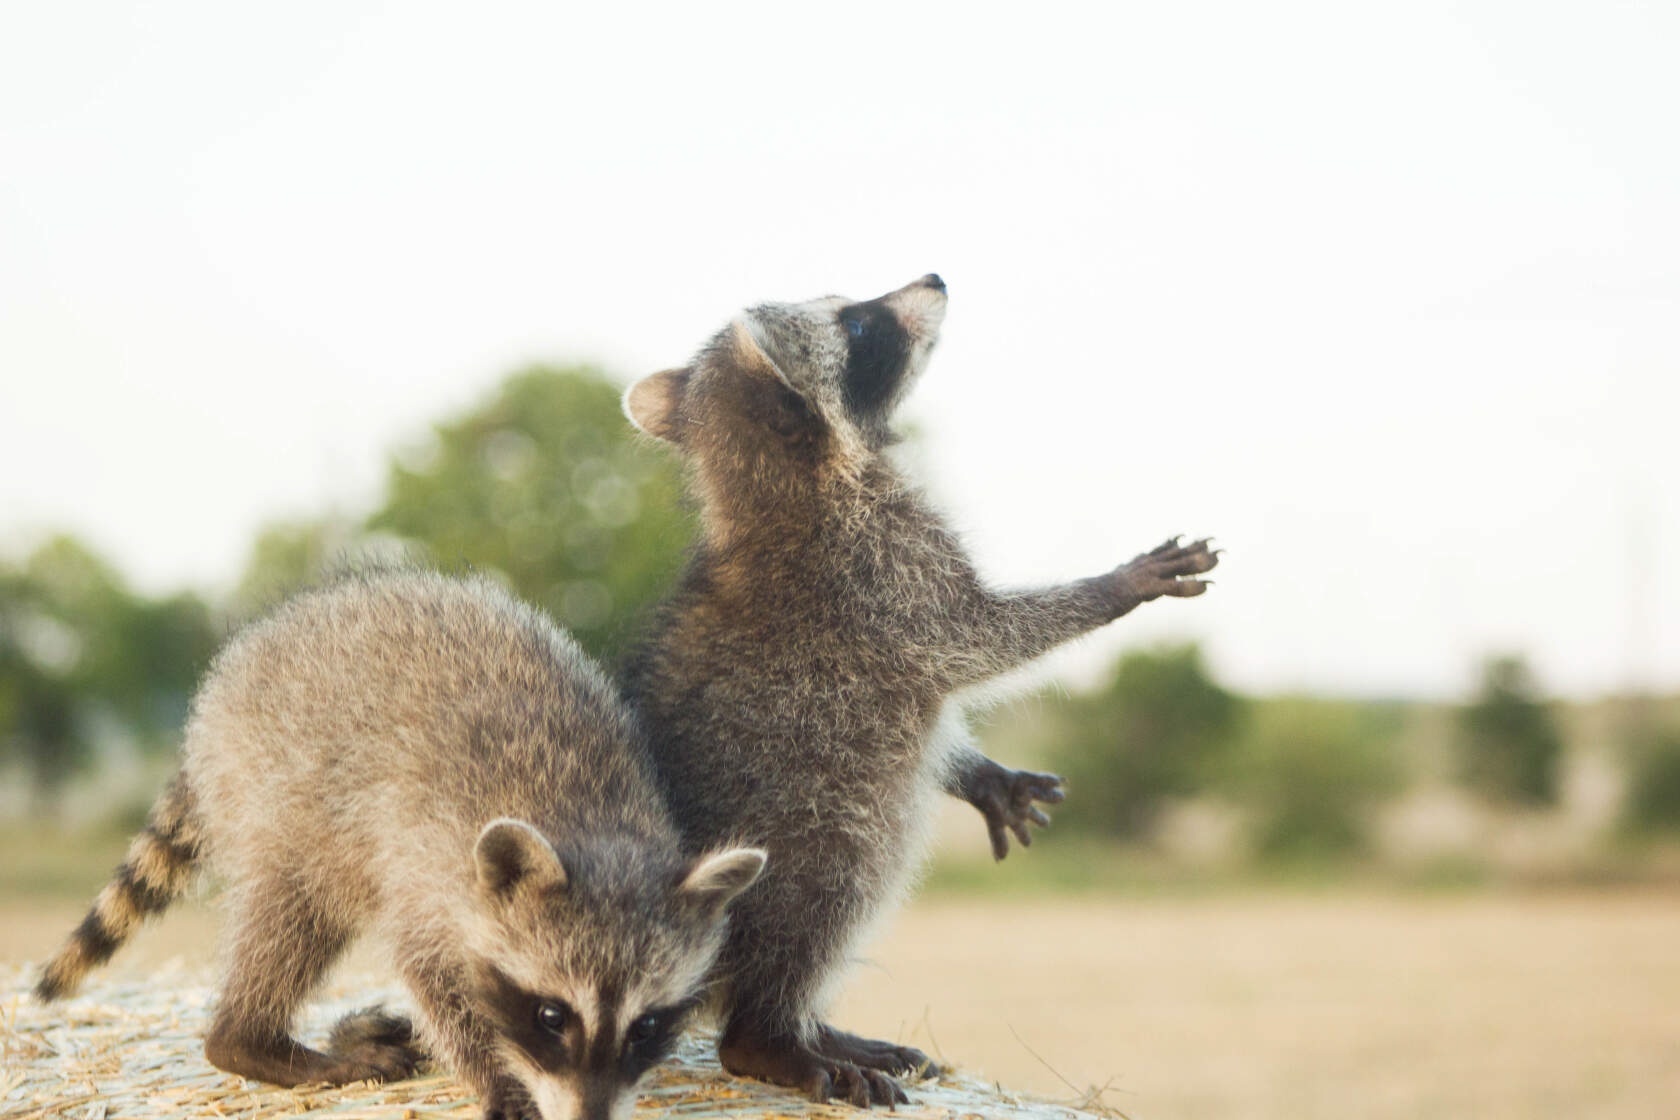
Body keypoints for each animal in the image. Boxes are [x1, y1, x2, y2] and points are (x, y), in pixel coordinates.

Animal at [34, 574, 769, 1114]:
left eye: (646, 1026)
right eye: (551, 1015)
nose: (587, 1119)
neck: (591, 822)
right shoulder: (429, 863)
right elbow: (433, 978)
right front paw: (496, 1075)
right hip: (273, 786)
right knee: (291, 912)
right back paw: (248, 1040)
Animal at [624, 275, 1216, 1108]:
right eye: (858, 325)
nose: (934, 279)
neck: (775, 482)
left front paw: (978, 772)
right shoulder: (885, 571)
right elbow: (982, 638)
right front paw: (1113, 588)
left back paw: (816, 1025)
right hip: (800, 836)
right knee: (832, 896)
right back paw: (772, 1036)